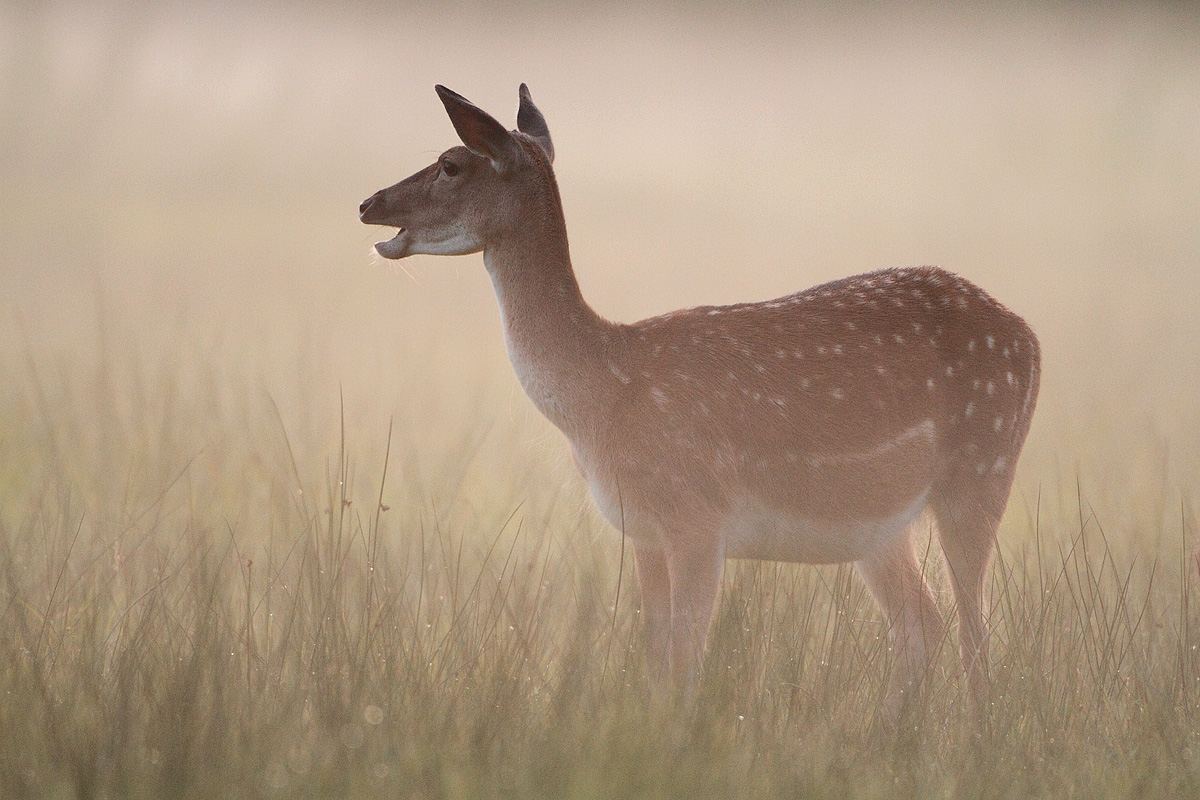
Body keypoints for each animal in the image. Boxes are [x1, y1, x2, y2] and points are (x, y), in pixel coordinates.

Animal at [357, 84, 1041, 714]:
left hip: (981, 470)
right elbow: (656, 657)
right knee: (923, 623)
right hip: (880, 525)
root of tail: (1030, 340)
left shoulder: (697, 515)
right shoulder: (643, 529)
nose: (368, 203)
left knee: (975, 635)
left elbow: (687, 661)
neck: (598, 395)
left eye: (450, 162)